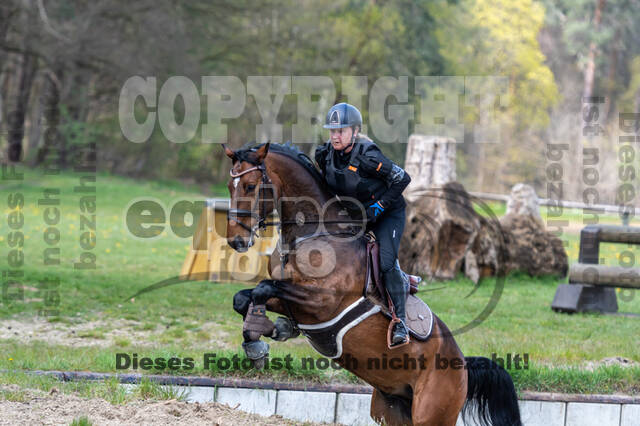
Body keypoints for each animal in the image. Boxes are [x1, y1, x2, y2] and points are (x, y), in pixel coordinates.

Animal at [221, 143, 520, 426]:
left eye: (250, 186)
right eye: (229, 186)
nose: (236, 240)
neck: (313, 233)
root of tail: (463, 366)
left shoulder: (322, 302)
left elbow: (263, 288)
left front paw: (260, 341)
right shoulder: (295, 299)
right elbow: (244, 297)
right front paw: (266, 335)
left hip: (433, 414)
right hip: (390, 409)